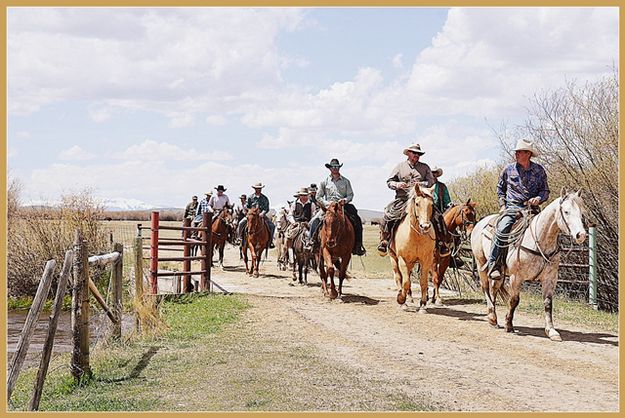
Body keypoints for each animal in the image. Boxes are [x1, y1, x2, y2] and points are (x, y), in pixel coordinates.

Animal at [470, 189, 588, 340]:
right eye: (566, 211)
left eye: (582, 212)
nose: (581, 235)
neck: (539, 240)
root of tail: (481, 222)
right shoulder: (516, 277)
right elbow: (514, 300)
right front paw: (509, 325)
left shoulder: (550, 278)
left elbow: (548, 303)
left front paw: (551, 331)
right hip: (481, 264)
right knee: (485, 287)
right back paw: (491, 316)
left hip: (500, 273)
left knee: (494, 288)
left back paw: (494, 319)